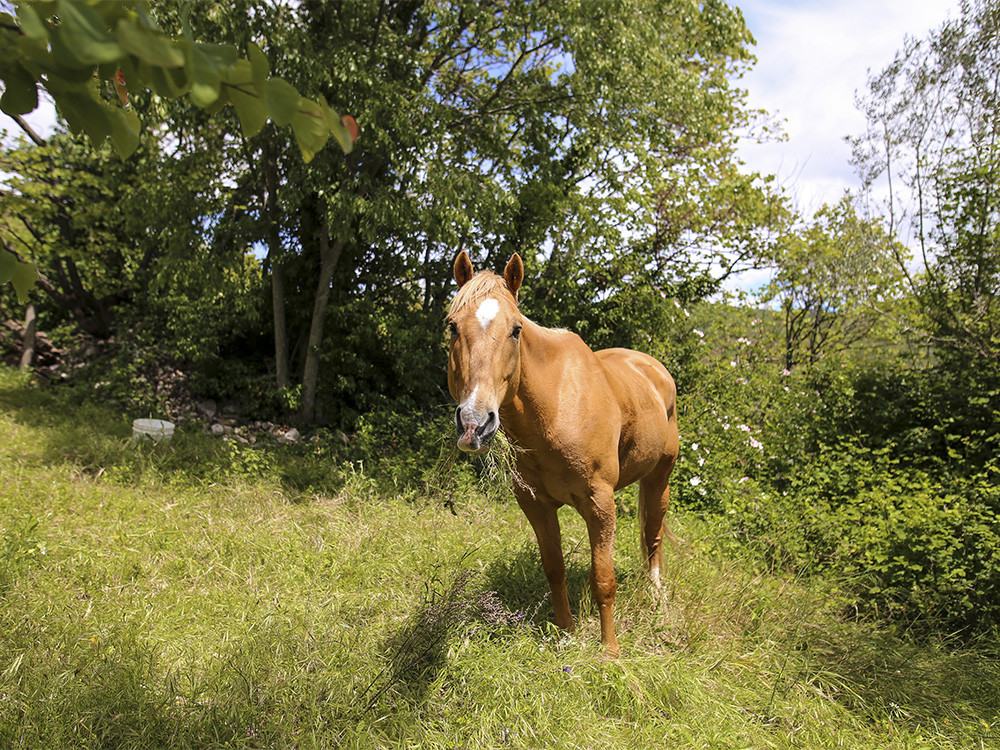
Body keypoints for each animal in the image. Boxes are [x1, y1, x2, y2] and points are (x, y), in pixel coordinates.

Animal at [446, 250, 680, 656]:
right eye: (452, 327)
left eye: (516, 330)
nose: (475, 423)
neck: (555, 407)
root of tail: (653, 368)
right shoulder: (535, 504)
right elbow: (554, 569)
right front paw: (566, 631)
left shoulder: (600, 503)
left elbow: (603, 579)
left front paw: (610, 651)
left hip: (660, 477)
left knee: (653, 536)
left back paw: (656, 598)